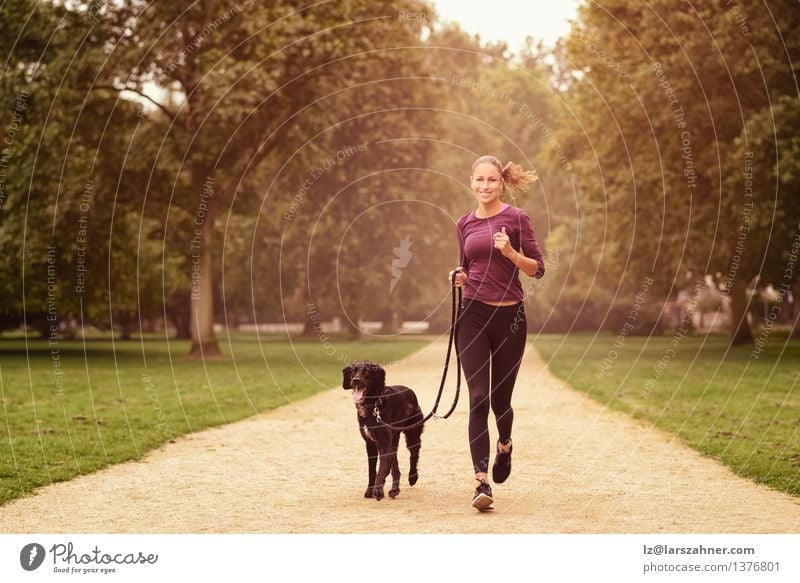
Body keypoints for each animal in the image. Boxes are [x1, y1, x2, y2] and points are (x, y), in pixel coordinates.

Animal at [344, 360, 424, 502]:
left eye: (367, 371)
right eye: (354, 370)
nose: (355, 380)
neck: (373, 405)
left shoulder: (384, 443)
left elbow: (381, 469)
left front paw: (378, 491)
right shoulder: (370, 444)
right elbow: (372, 470)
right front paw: (370, 491)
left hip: (412, 434)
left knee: (414, 455)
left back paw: (412, 477)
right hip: (394, 438)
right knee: (395, 467)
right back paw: (394, 490)